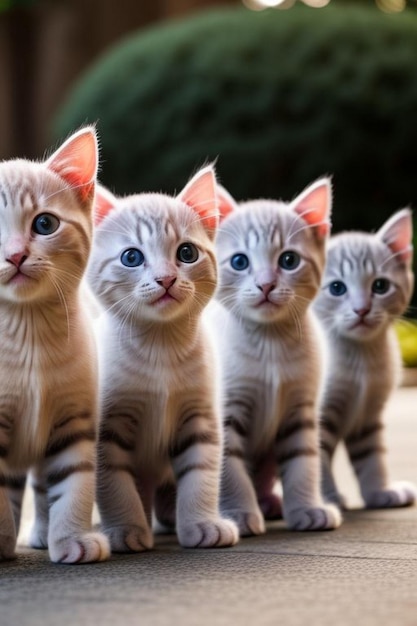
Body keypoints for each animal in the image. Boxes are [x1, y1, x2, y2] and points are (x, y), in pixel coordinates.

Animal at [88, 167, 237, 552]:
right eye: (131, 257)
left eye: (186, 252)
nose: (166, 279)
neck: (161, 347)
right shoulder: (107, 427)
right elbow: (114, 483)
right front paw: (125, 529)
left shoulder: (201, 415)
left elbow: (201, 474)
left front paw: (202, 523)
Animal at [208, 178, 342, 532]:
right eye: (239, 262)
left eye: (289, 260)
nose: (266, 285)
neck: (270, 345)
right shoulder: (226, 413)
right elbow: (231, 469)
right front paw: (239, 514)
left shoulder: (301, 409)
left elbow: (303, 464)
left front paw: (309, 508)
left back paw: (270, 502)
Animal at [314, 208, 414, 508]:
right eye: (337, 288)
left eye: (380, 286)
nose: (362, 309)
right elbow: (317, 461)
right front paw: (328, 498)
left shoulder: (369, 416)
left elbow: (373, 458)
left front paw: (380, 491)